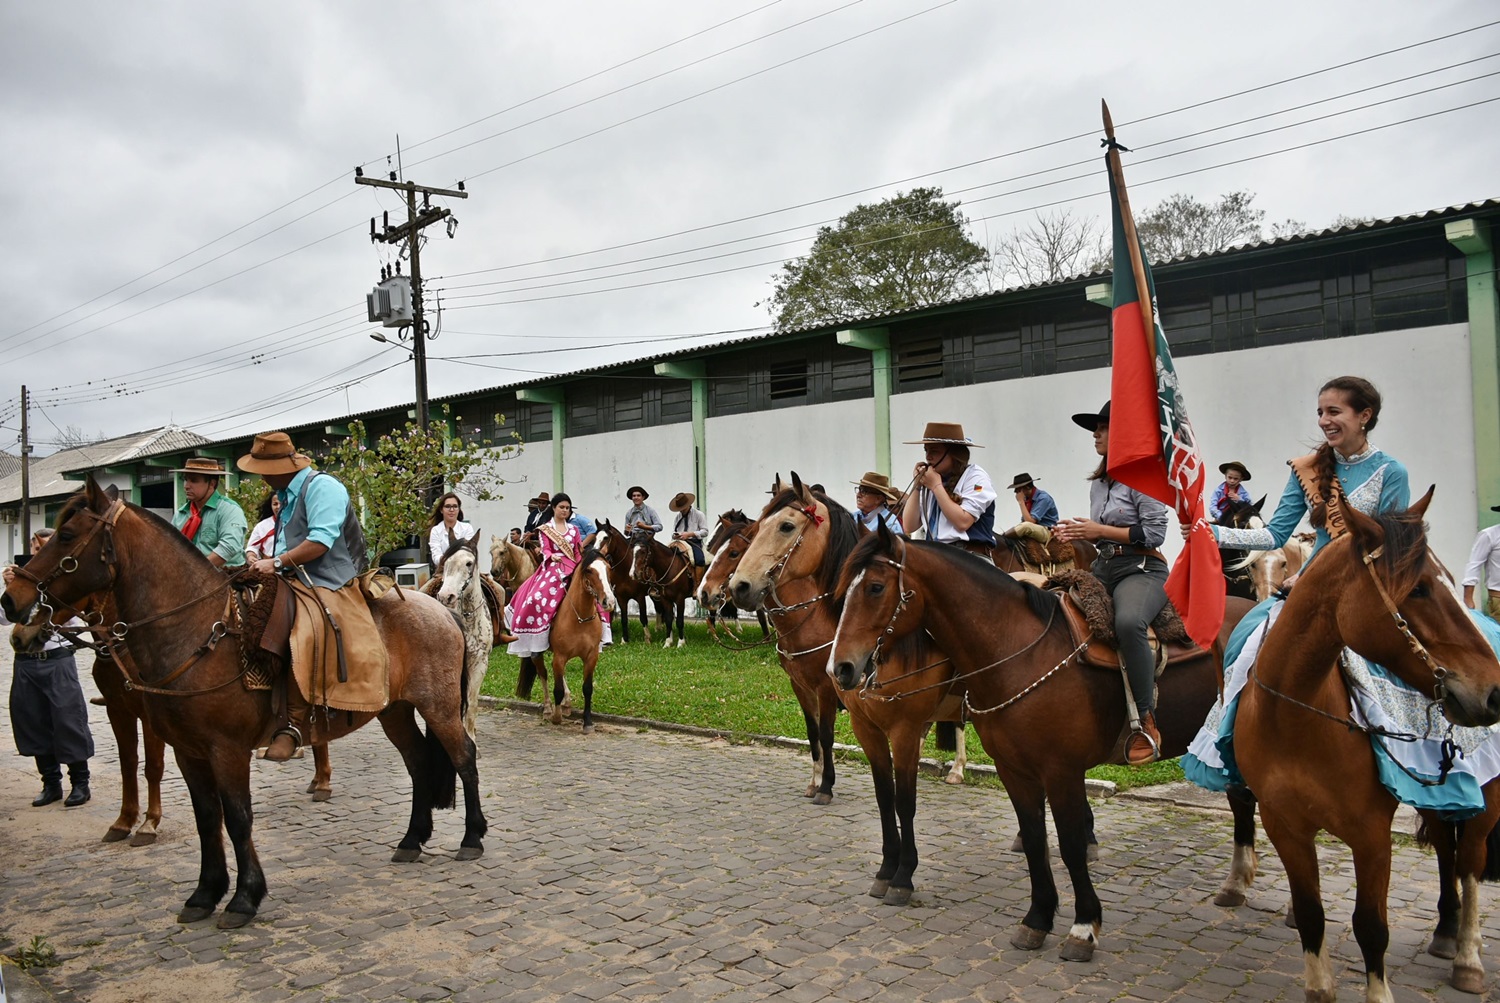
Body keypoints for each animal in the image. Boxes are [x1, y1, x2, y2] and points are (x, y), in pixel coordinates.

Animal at [437, 533, 492, 743]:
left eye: (469, 563)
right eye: (445, 562)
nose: (446, 596)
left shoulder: (480, 663)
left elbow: (472, 703)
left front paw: (471, 738)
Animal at [514, 547, 617, 733]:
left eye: (608, 568)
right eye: (589, 570)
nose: (609, 602)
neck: (580, 618)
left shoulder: (591, 657)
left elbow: (587, 688)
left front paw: (587, 722)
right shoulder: (560, 656)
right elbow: (557, 689)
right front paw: (556, 717)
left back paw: (567, 704)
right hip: (538, 651)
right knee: (543, 672)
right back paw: (548, 709)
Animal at [826, 521, 1252, 961]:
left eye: (875, 587)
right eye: (842, 587)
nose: (840, 667)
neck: (1020, 650)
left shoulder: (1059, 771)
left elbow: (1069, 844)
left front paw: (1083, 927)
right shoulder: (1012, 770)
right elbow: (1034, 840)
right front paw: (1037, 919)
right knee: (1241, 799)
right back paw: (1235, 886)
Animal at [1230, 492, 1500, 1000]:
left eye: (1449, 582)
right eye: (1419, 589)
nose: (1494, 691)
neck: (1296, 717)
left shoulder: (1372, 835)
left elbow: (1371, 926)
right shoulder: (1284, 826)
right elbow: (1311, 915)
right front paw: (1319, 988)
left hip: (1487, 794)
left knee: (1472, 861)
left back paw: (1468, 957)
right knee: (1446, 847)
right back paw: (1445, 930)